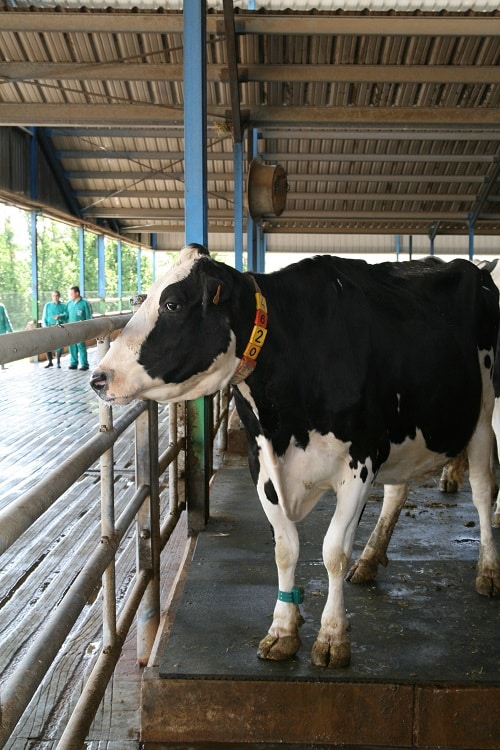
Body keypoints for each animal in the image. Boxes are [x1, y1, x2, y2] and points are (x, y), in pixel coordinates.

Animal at [90, 244, 500, 668]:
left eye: (172, 304)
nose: (98, 378)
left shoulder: (362, 460)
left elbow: (333, 551)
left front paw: (332, 637)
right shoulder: (262, 463)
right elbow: (285, 550)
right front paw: (283, 630)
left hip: (483, 409)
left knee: (482, 487)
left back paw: (488, 570)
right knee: (398, 491)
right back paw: (371, 559)